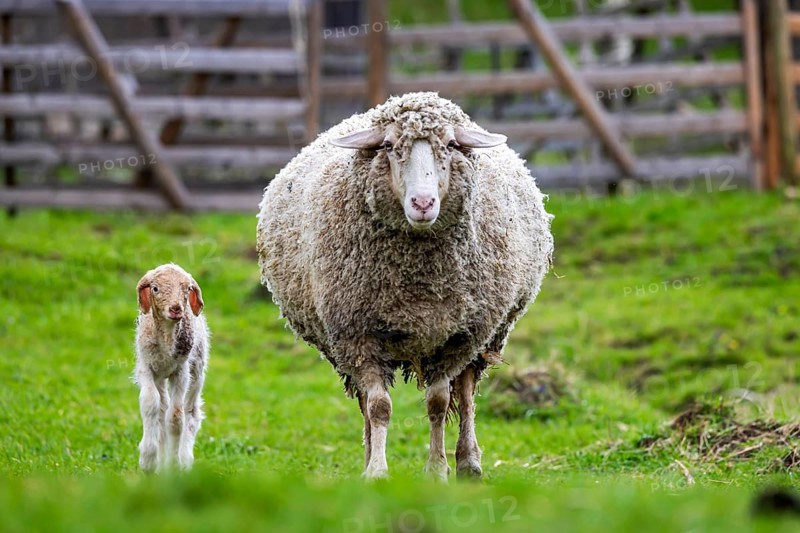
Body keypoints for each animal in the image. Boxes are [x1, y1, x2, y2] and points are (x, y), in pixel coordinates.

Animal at [133, 263, 209, 472]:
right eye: (155, 288)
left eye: (187, 290)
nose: (176, 309)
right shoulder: (146, 366)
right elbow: (150, 403)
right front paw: (148, 460)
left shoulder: (181, 371)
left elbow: (175, 418)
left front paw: (173, 466)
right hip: (160, 375)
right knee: (161, 409)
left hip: (197, 368)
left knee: (191, 412)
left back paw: (184, 459)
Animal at [257, 92, 553, 480]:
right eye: (388, 145)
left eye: (450, 145)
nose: (423, 203)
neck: (418, 287)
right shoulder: (357, 336)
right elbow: (379, 407)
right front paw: (377, 471)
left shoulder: (455, 338)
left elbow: (439, 402)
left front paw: (437, 469)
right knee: (366, 403)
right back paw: (370, 456)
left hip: (486, 335)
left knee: (467, 392)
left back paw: (469, 462)